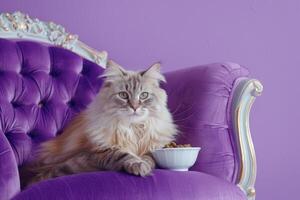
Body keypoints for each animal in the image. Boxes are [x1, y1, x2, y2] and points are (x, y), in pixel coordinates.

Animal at [24, 61, 178, 188]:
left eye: (144, 95)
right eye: (123, 95)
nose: (134, 107)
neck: (131, 128)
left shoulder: (151, 147)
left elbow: (149, 158)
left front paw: (145, 165)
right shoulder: (97, 152)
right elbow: (122, 155)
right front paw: (139, 165)